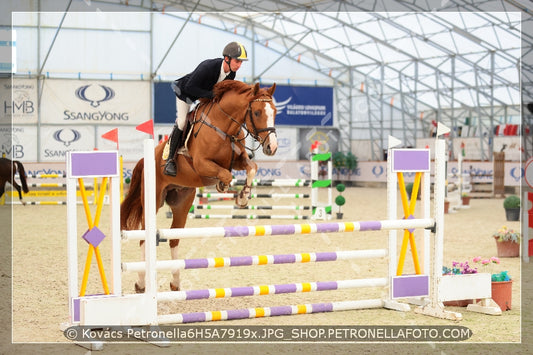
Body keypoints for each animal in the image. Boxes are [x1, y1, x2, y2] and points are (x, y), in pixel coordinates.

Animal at [121, 81, 278, 294]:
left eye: (275, 111)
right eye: (257, 112)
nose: (272, 147)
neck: (224, 126)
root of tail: (146, 159)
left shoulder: (238, 160)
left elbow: (252, 167)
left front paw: (243, 196)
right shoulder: (202, 164)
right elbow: (226, 174)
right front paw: (223, 186)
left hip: (182, 202)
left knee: (174, 238)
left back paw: (175, 282)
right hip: (152, 200)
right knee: (144, 238)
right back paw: (141, 284)